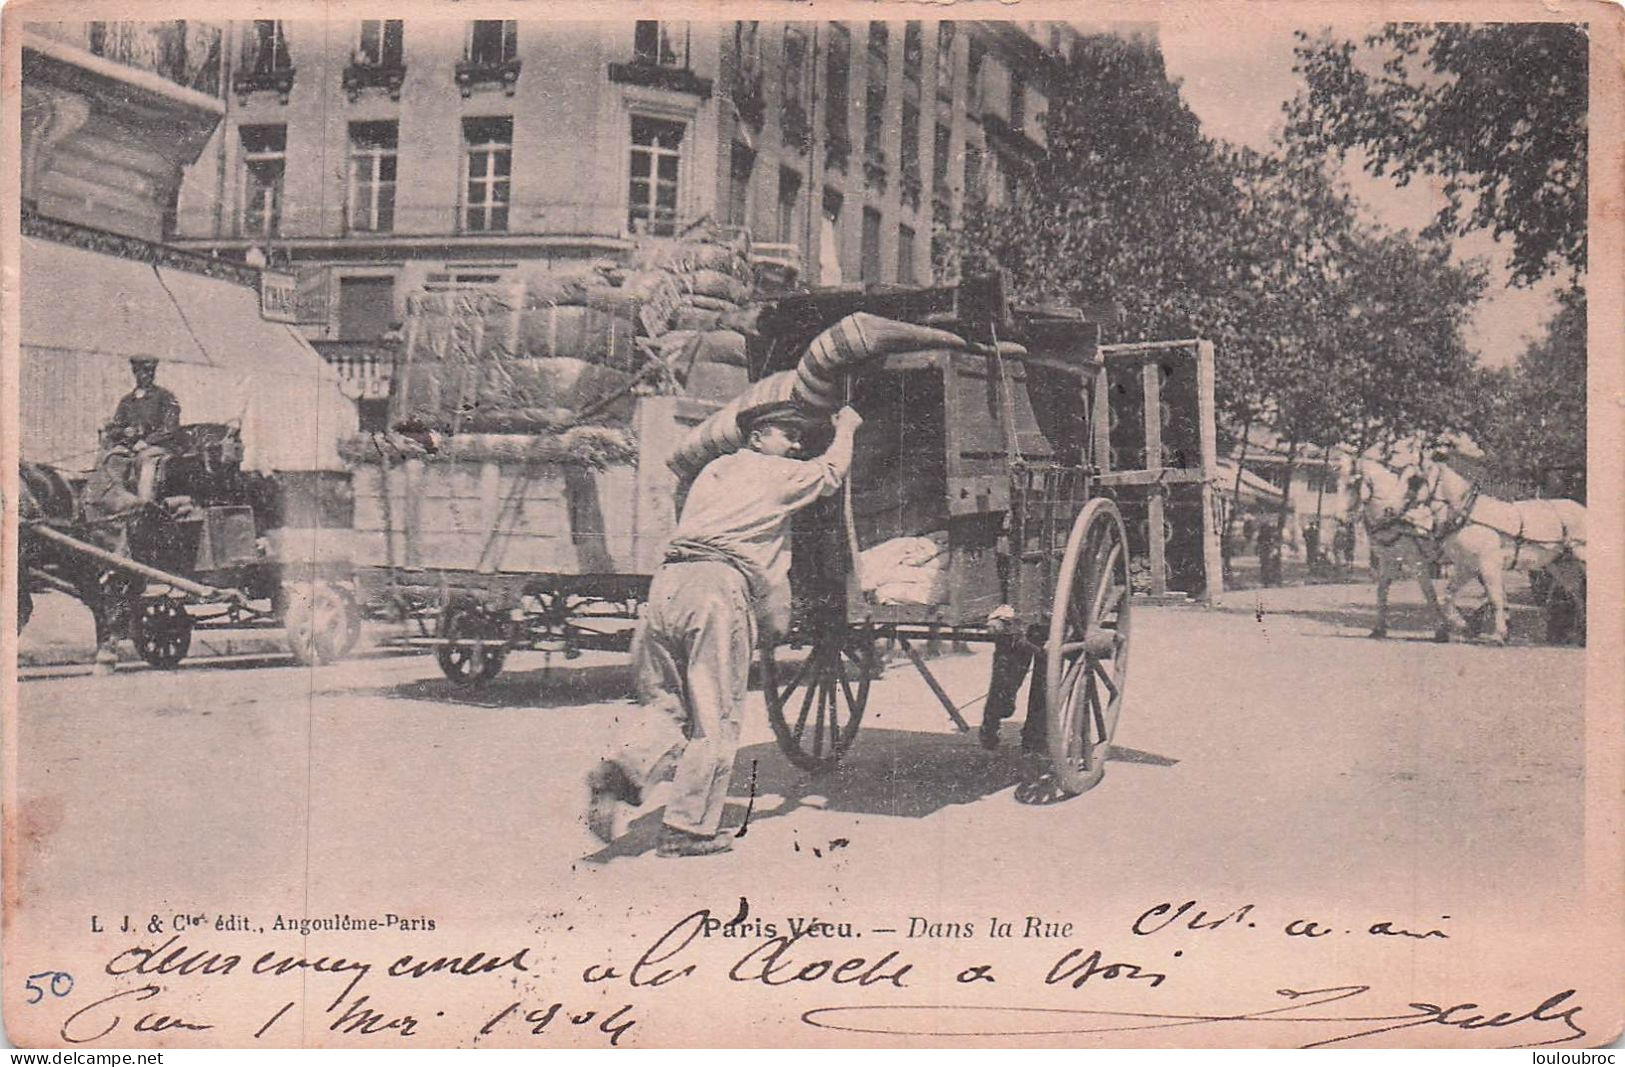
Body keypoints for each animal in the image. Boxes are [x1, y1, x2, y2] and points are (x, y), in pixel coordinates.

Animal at [1410, 454, 1586, 639]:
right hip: (1560, 564)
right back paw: (1579, 630)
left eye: (1413, 479)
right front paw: (1464, 625)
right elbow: (1449, 595)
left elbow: (1495, 597)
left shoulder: (1488, 564)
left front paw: (1500, 633)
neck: (1467, 513)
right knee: (1575, 591)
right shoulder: (1467, 567)